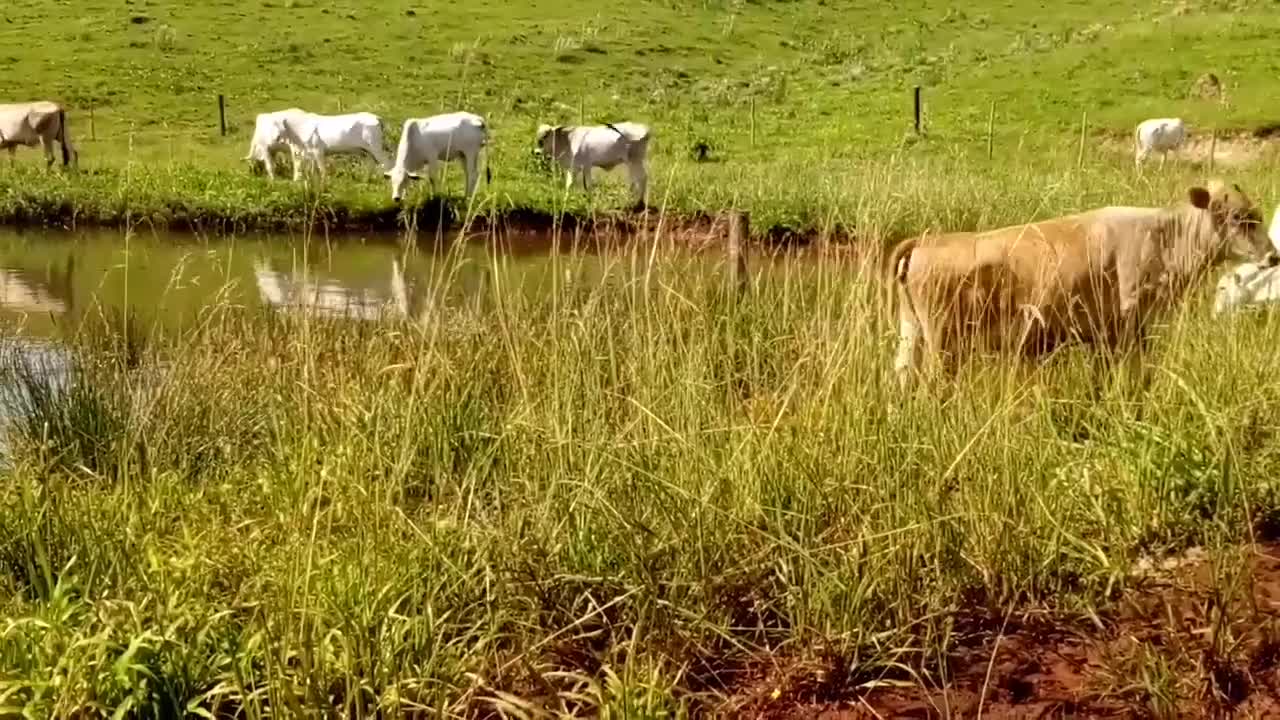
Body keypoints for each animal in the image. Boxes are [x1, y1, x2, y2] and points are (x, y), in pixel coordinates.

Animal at [890, 181, 1269, 389]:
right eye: (1237, 218)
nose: (1273, 255)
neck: (1163, 237)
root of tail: (926, 241)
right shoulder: (1126, 327)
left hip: (912, 336)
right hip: (942, 346)